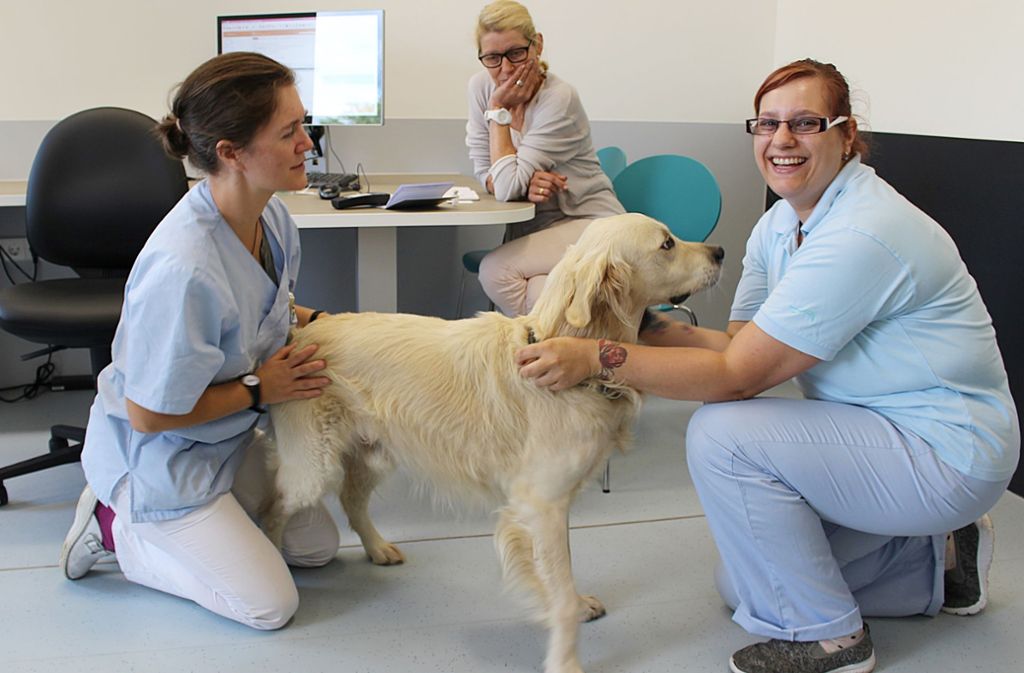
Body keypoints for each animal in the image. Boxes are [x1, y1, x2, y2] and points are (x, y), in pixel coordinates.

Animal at [268, 214, 724, 671]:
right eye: (666, 244)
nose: (720, 252)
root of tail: (303, 332)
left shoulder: (553, 504)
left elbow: (561, 573)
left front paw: (576, 604)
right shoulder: (541, 504)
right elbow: (557, 592)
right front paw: (566, 657)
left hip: (375, 452)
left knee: (350, 499)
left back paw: (378, 548)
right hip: (313, 465)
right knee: (273, 505)